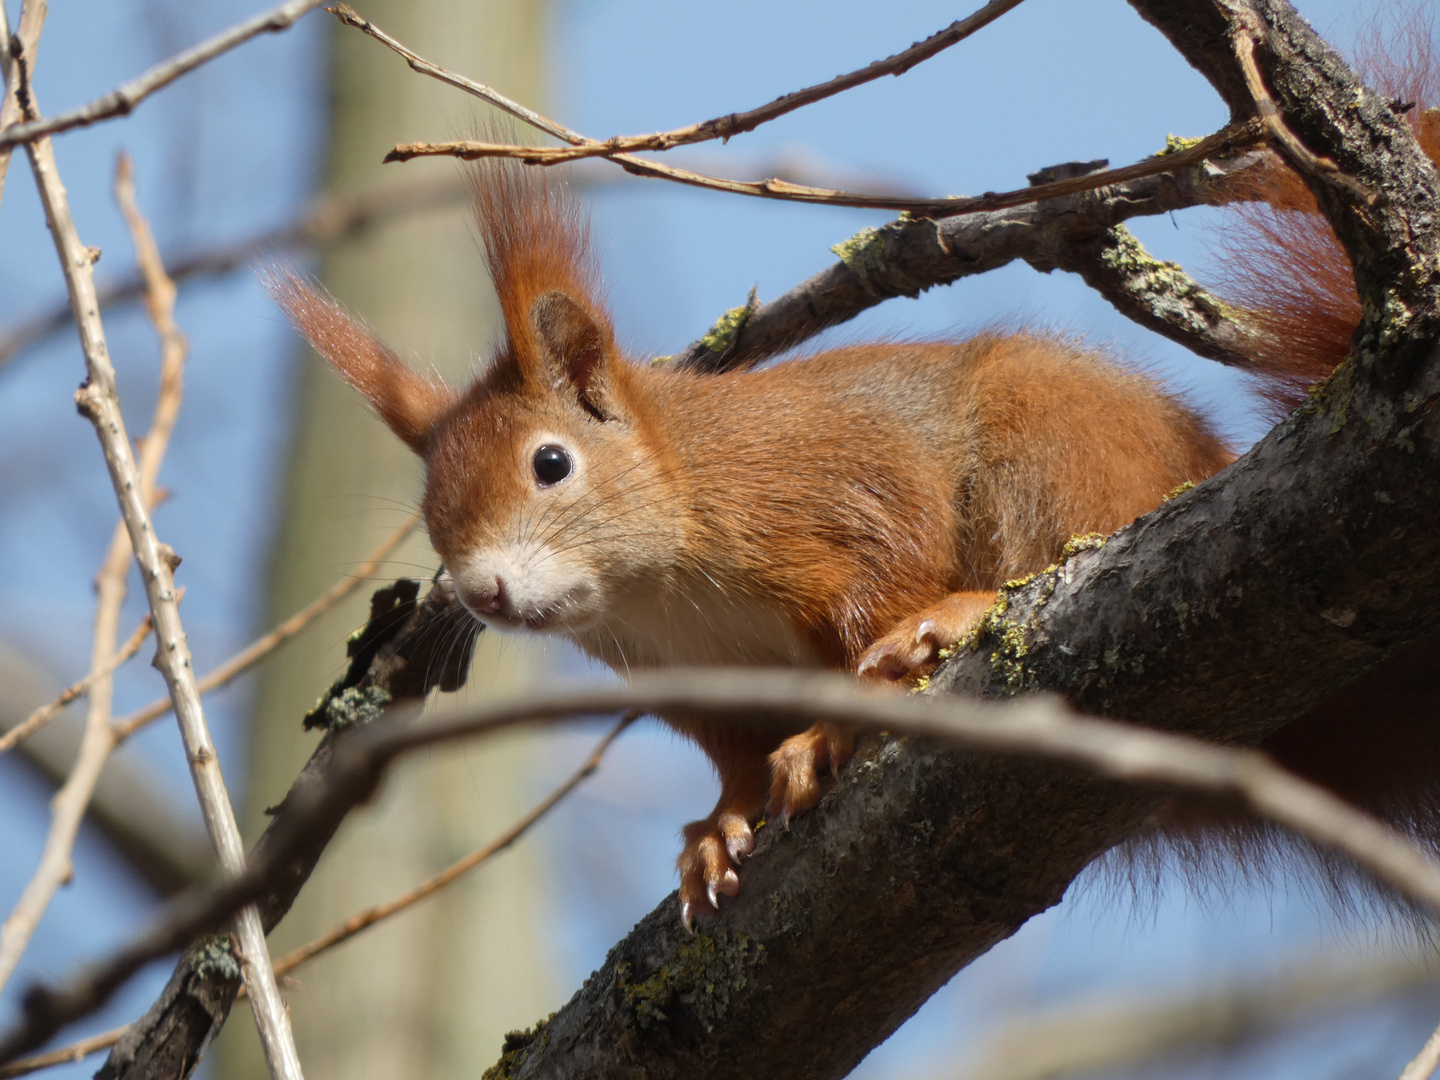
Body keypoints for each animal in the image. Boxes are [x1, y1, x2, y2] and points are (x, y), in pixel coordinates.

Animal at [272, 61, 1440, 921]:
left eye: (550, 463)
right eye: (430, 512)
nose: (481, 593)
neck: (667, 572)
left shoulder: (833, 491)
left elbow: (880, 582)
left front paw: (837, 728)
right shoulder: (694, 686)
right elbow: (733, 762)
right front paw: (718, 832)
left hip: (1055, 444)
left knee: (1056, 549)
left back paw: (955, 619)